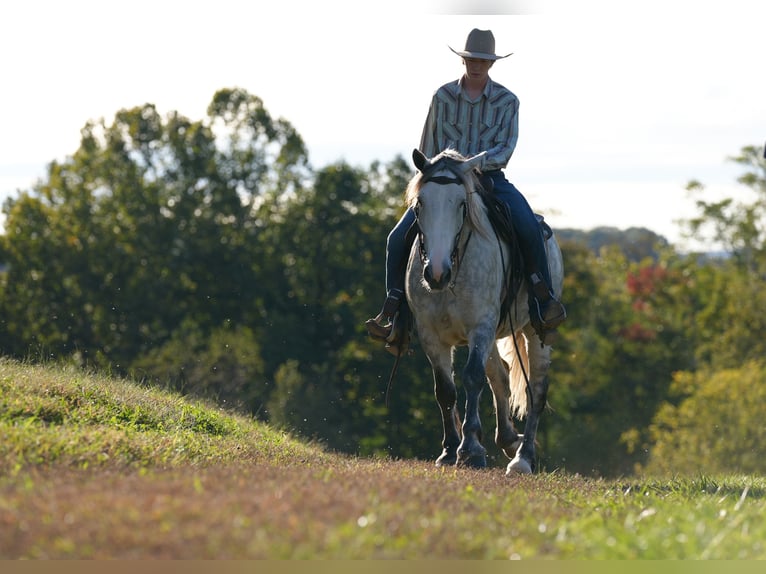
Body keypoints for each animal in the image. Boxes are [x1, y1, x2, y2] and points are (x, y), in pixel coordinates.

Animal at [404, 148, 564, 475]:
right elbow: (445, 389)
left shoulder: (481, 326)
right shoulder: (431, 335)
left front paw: (470, 449)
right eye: (420, 203)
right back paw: (508, 440)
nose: (436, 273)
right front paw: (449, 450)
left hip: (535, 332)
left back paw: (523, 458)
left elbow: (472, 377)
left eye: (461, 204)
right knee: (500, 377)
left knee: (536, 390)